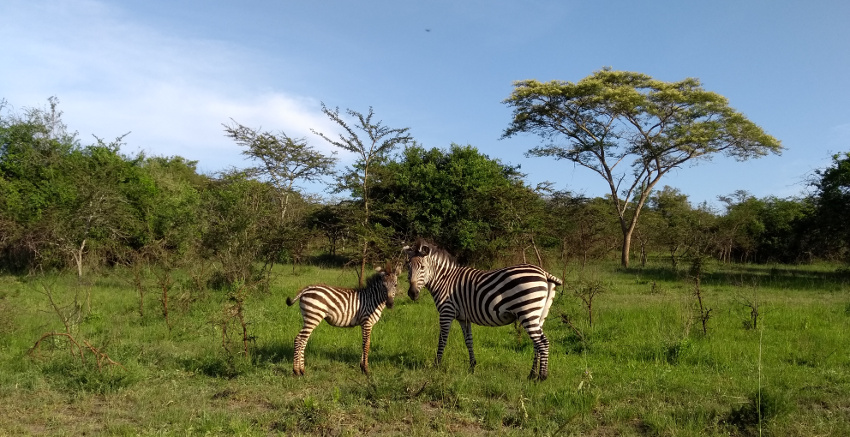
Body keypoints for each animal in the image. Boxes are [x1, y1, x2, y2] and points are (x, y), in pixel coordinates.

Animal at [400, 240, 560, 380]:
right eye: (408, 267)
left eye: (422, 267)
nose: (412, 294)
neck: (444, 280)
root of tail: (543, 273)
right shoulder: (463, 318)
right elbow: (469, 341)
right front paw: (472, 366)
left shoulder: (447, 312)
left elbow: (442, 340)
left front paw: (436, 365)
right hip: (538, 314)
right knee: (537, 344)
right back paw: (531, 375)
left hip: (528, 312)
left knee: (543, 343)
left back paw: (541, 377)